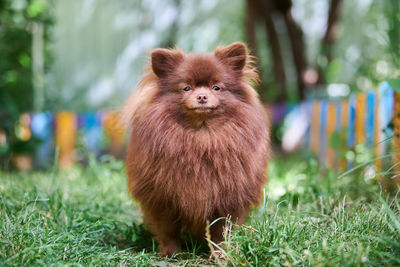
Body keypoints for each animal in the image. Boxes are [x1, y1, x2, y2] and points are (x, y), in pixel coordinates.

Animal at [123, 42, 270, 258]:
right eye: (186, 87)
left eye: (216, 87)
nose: (201, 96)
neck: (202, 135)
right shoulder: (162, 198)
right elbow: (167, 230)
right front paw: (172, 253)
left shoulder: (228, 197)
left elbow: (221, 230)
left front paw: (220, 255)